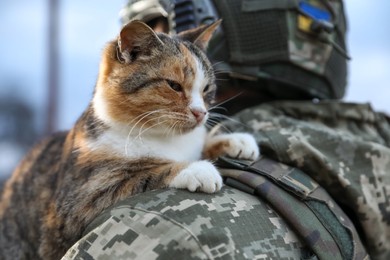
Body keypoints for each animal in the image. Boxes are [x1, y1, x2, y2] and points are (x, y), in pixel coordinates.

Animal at [0, 20, 260, 260]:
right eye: (174, 85)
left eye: (206, 89)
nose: (201, 113)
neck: (161, 136)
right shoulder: (76, 204)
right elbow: (144, 174)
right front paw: (195, 169)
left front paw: (234, 141)